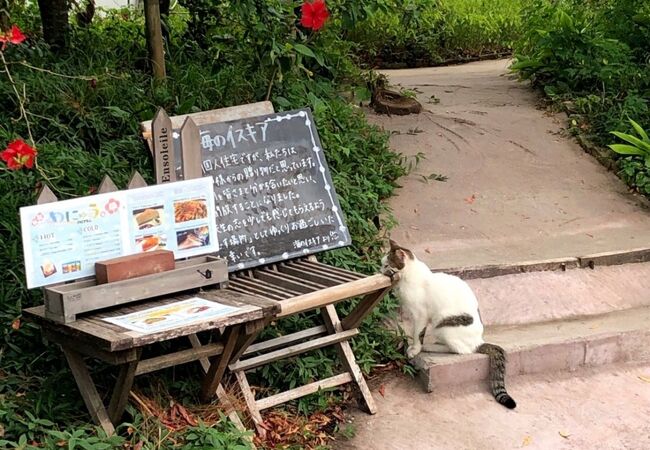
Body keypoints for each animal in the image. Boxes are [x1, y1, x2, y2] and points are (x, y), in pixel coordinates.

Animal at [382, 241, 512, 410]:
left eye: (387, 264)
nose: (380, 269)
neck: (409, 277)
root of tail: (479, 341)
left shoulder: (420, 315)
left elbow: (418, 334)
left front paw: (414, 349)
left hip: (443, 325)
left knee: (460, 350)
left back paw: (431, 346)